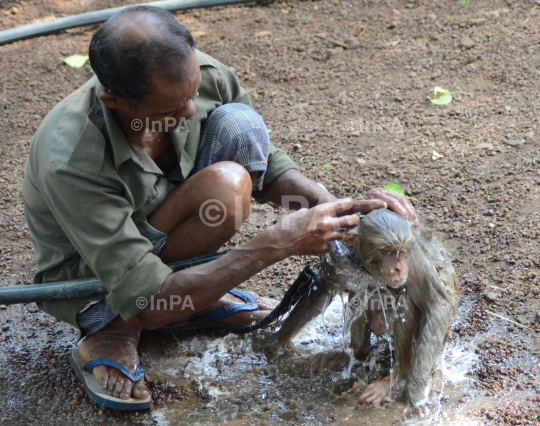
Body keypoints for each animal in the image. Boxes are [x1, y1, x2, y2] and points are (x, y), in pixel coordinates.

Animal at [308, 210, 460, 416]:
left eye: (402, 252)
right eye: (387, 252)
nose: (398, 267)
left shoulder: (412, 257)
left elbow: (438, 304)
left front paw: (413, 396)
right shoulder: (339, 254)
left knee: (406, 297)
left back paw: (396, 375)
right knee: (361, 294)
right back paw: (356, 351)